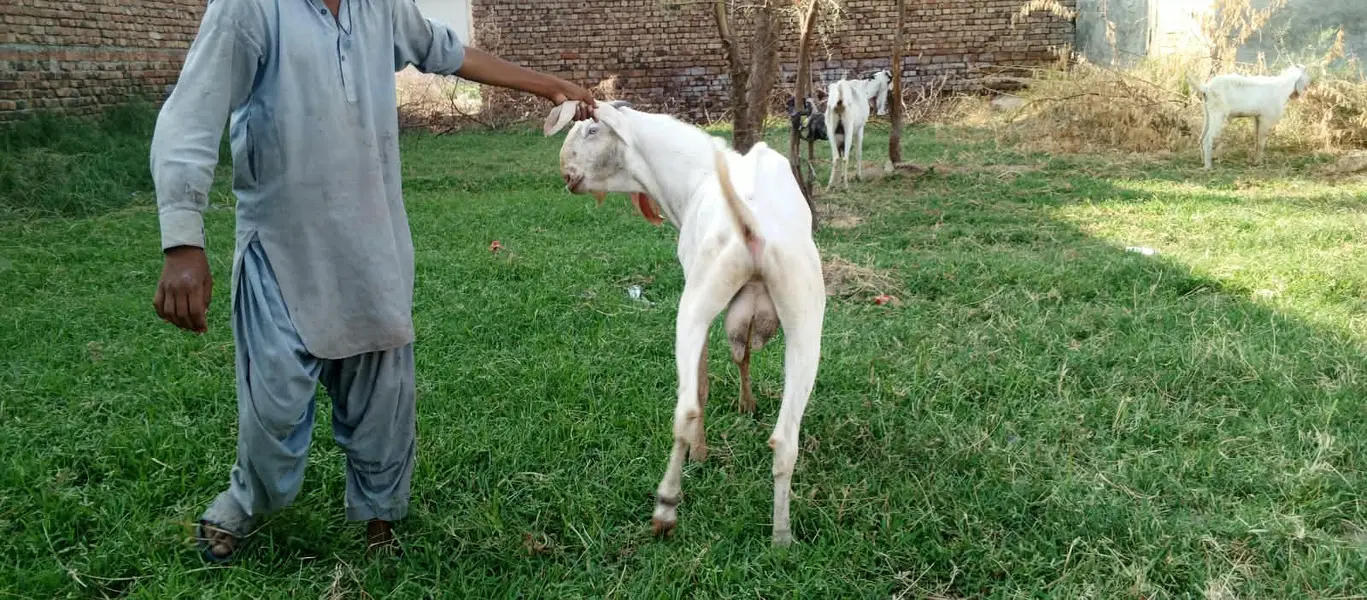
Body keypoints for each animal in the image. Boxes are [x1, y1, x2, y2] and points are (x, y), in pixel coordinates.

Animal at [544, 100, 826, 547]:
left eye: (591, 129)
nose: (565, 171)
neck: (694, 172)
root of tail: (755, 229)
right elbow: (742, 354)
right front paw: (747, 404)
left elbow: (705, 381)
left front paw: (701, 454)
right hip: (806, 316)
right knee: (786, 439)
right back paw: (781, 537)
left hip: (696, 301)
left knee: (687, 408)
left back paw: (666, 508)